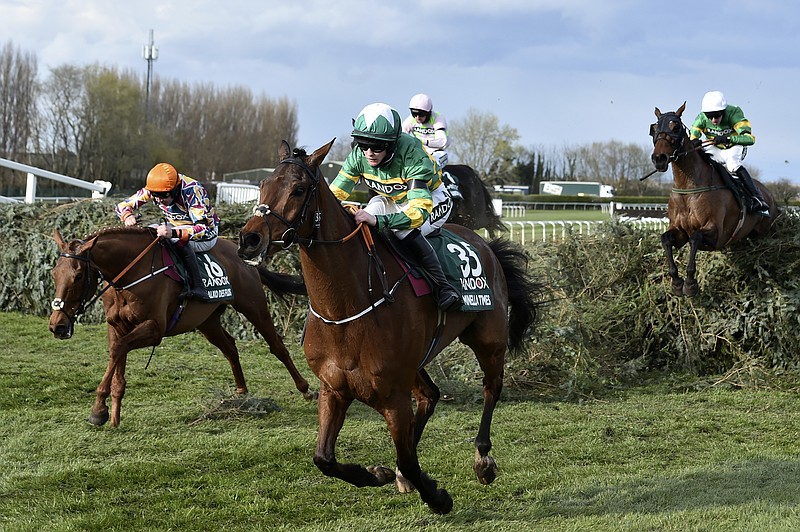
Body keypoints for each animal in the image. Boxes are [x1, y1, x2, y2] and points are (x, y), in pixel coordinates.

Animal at [50, 227, 316, 426]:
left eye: (78, 276)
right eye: (54, 273)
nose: (57, 326)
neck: (130, 276)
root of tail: (240, 253)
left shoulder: (155, 329)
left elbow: (118, 350)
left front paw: (98, 411)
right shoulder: (116, 327)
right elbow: (118, 356)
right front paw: (111, 413)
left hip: (253, 306)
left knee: (277, 346)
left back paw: (305, 389)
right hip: (207, 321)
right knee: (230, 347)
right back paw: (241, 393)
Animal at [234, 139, 540, 512]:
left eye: (299, 189)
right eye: (263, 185)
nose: (249, 239)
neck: (347, 307)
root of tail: (484, 244)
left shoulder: (394, 396)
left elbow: (408, 457)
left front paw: (437, 497)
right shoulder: (334, 389)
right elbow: (324, 458)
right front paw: (378, 473)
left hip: (488, 338)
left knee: (491, 388)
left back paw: (482, 460)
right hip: (419, 360)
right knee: (430, 395)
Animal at [648, 102, 776, 298]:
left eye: (675, 127)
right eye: (654, 128)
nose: (659, 158)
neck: (688, 188)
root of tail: (769, 194)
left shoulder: (717, 234)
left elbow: (695, 237)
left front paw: (690, 283)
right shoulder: (679, 231)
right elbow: (666, 239)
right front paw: (676, 283)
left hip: (764, 231)